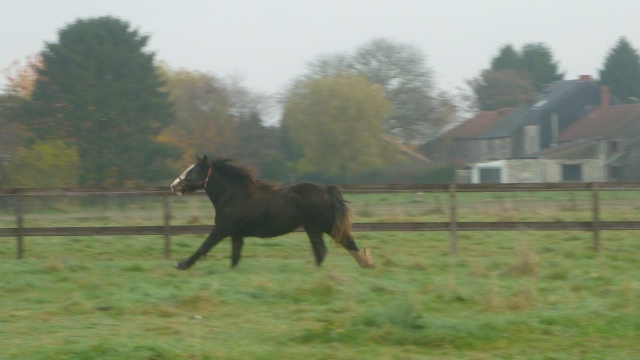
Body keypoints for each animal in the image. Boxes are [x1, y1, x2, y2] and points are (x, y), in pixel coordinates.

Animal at [170, 155, 372, 270]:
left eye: (193, 171)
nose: (173, 186)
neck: (233, 195)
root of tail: (326, 190)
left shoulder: (222, 229)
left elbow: (204, 246)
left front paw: (182, 265)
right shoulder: (236, 234)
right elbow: (235, 257)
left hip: (326, 224)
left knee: (347, 242)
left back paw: (366, 263)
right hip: (313, 228)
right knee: (320, 251)